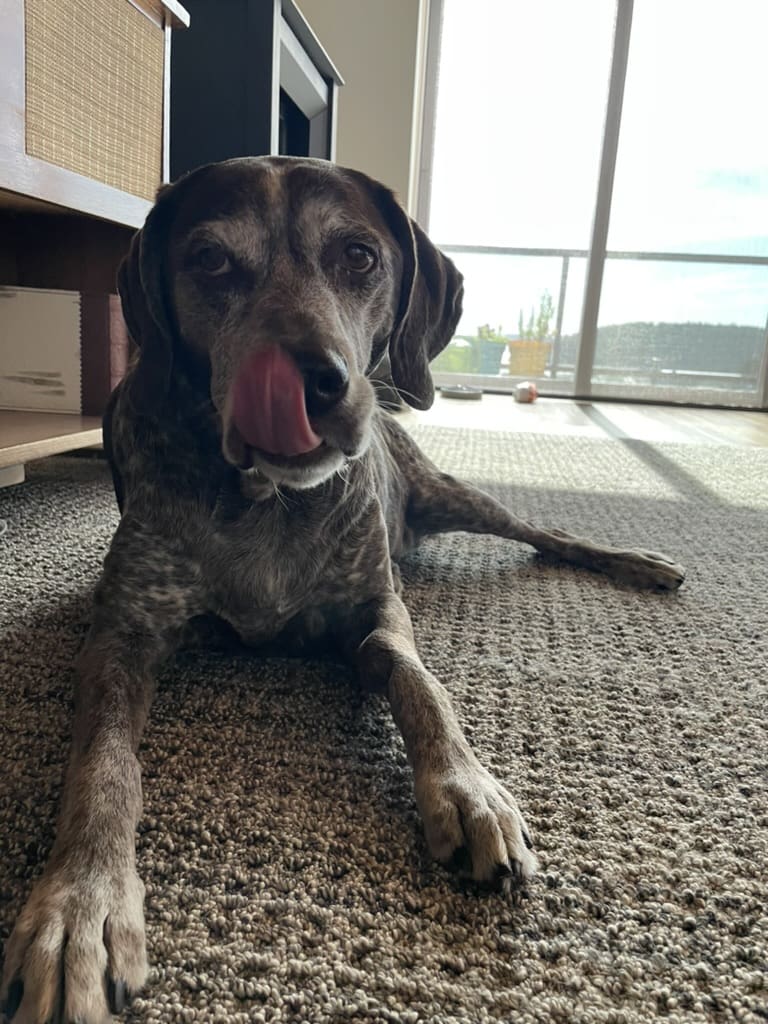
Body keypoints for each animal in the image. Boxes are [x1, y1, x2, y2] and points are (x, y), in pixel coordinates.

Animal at [0, 157, 684, 1024]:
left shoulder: (377, 614)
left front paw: (469, 792)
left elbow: (423, 688)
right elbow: (103, 767)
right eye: (209, 259)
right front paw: (78, 907)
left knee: (542, 532)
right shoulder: (120, 638)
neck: (265, 499)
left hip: (448, 494)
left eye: (360, 256)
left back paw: (639, 561)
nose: (318, 384)